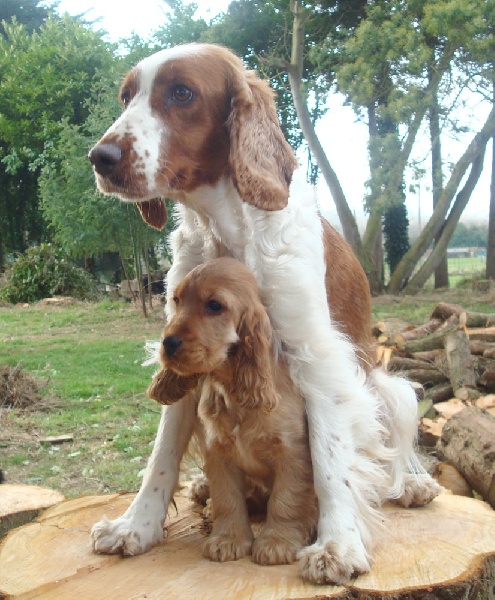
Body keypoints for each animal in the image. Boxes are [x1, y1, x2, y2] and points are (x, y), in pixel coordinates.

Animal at [149, 258, 318, 568]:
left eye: (214, 305)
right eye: (177, 300)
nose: (168, 343)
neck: (231, 387)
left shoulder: (292, 451)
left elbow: (285, 499)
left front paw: (276, 542)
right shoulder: (218, 450)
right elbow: (227, 498)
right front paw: (228, 539)